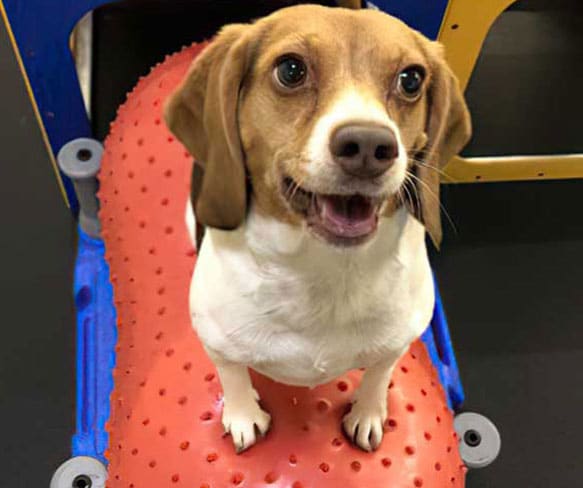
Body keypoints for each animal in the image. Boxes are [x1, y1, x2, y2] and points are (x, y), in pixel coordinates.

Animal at [163, 3, 470, 454]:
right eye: (291, 70)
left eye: (411, 79)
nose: (369, 146)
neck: (325, 271)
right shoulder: (217, 342)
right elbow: (232, 376)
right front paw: (243, 415)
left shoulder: (398, 339)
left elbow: (379, 374)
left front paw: (367, 412)